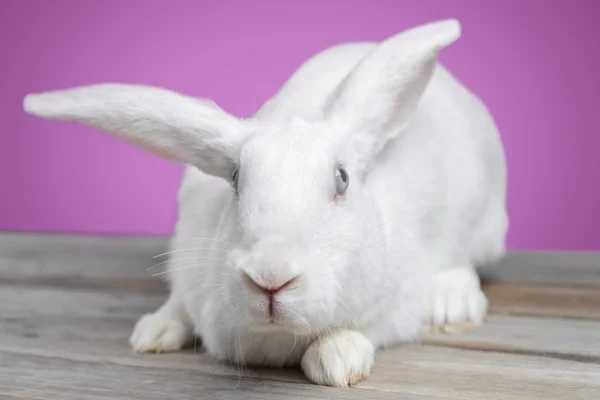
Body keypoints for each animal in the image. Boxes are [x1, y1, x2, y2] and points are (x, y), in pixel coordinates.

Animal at [22, 19, 506, 388]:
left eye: (342, 179)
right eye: (236, 179)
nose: (271, 279)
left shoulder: (399, 305)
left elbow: (358, 331)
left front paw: (338, 359)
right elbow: (180, 300)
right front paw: (155, 330)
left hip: (484, 224)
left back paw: (453, 302)